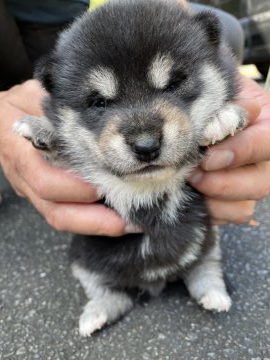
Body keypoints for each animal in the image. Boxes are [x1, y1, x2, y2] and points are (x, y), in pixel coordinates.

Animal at [15, 0, 247, 338]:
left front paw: (223, 117)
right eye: (98, 102)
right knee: (112, 293)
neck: (148, 185)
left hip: (209, 240)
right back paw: (96, 314)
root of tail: (157, 278)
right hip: (83, 260)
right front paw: (42, 130)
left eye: (174, 84)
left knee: (204, 269)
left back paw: (214, 295)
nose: (146, 145)